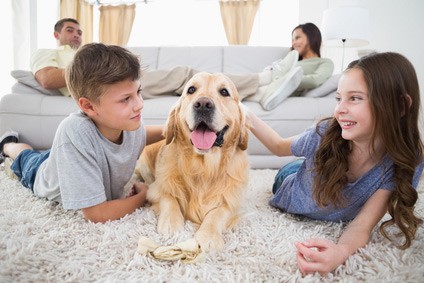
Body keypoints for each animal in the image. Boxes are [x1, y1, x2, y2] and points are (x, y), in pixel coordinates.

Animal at [134, 72, 250, 252]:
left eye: (224, 92)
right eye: (191, 90)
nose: (203, 104)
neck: (203, 168)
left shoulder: (234, 202)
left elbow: (218, 212)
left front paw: (209, 236)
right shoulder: (156, 189)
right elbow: (169, 198)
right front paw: (171, 224)